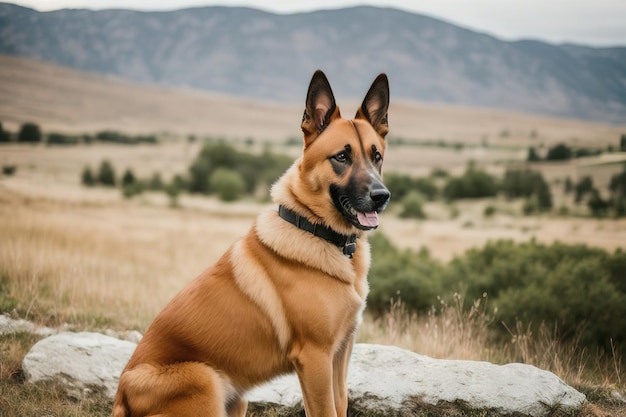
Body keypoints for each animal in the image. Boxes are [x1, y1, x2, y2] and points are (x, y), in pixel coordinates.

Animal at [109, 71, 388, 416]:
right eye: (341, 157)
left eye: (376, 156)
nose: (382, 197)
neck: (317, 231)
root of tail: (122, 397)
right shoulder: (315, 358)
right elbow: (325, 410)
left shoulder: (341, 353)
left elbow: (341, 404)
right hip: (205, 379)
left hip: (237, 400)